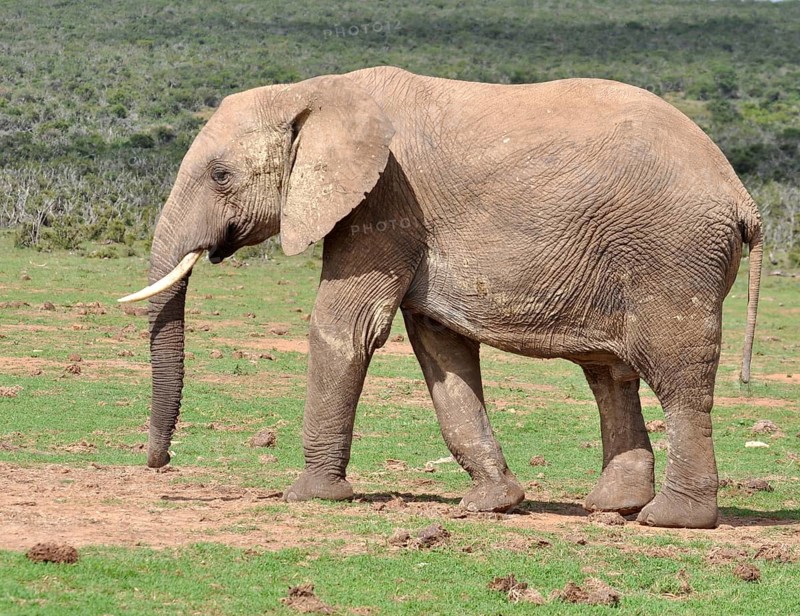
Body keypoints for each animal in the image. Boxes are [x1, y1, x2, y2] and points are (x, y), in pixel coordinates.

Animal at [120, 66, 762, 529]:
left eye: (221, 175)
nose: (158, 462)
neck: (314, 91)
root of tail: (742, 197)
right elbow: (441, 349)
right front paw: (491, 506)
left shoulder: (383, 202)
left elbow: (345, 327)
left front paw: (309, 496)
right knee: (609, 373)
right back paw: (612, 508)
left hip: (671, 253)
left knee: (677, 376)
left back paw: (670, 520)